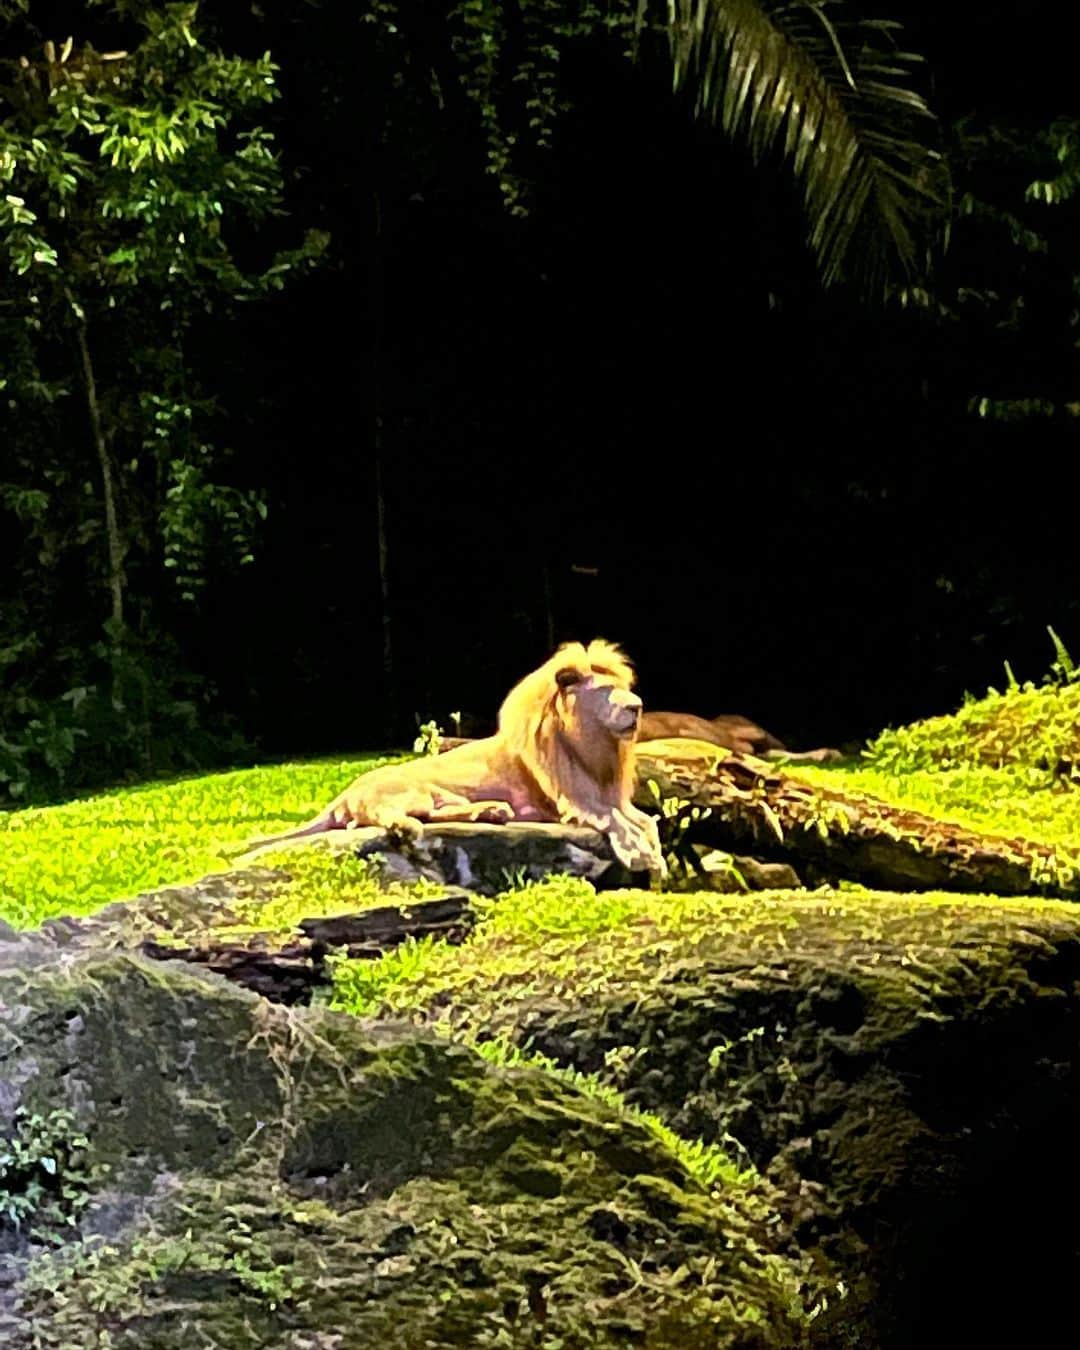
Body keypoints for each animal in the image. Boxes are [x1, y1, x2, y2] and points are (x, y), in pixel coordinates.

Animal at [243, 639, 666, 874]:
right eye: (605, 692)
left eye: (624, 689)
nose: (638, 706)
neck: (596, 747)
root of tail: (345, 794)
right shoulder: (574, 801)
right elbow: (617, 823)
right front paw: (639, 856)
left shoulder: (610, 796)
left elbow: (647, 822)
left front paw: (657, 859)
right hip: (408, 792)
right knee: (393, 818)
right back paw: (411, 829)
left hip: (440, 797)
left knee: (435, 814)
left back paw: (492, 812)